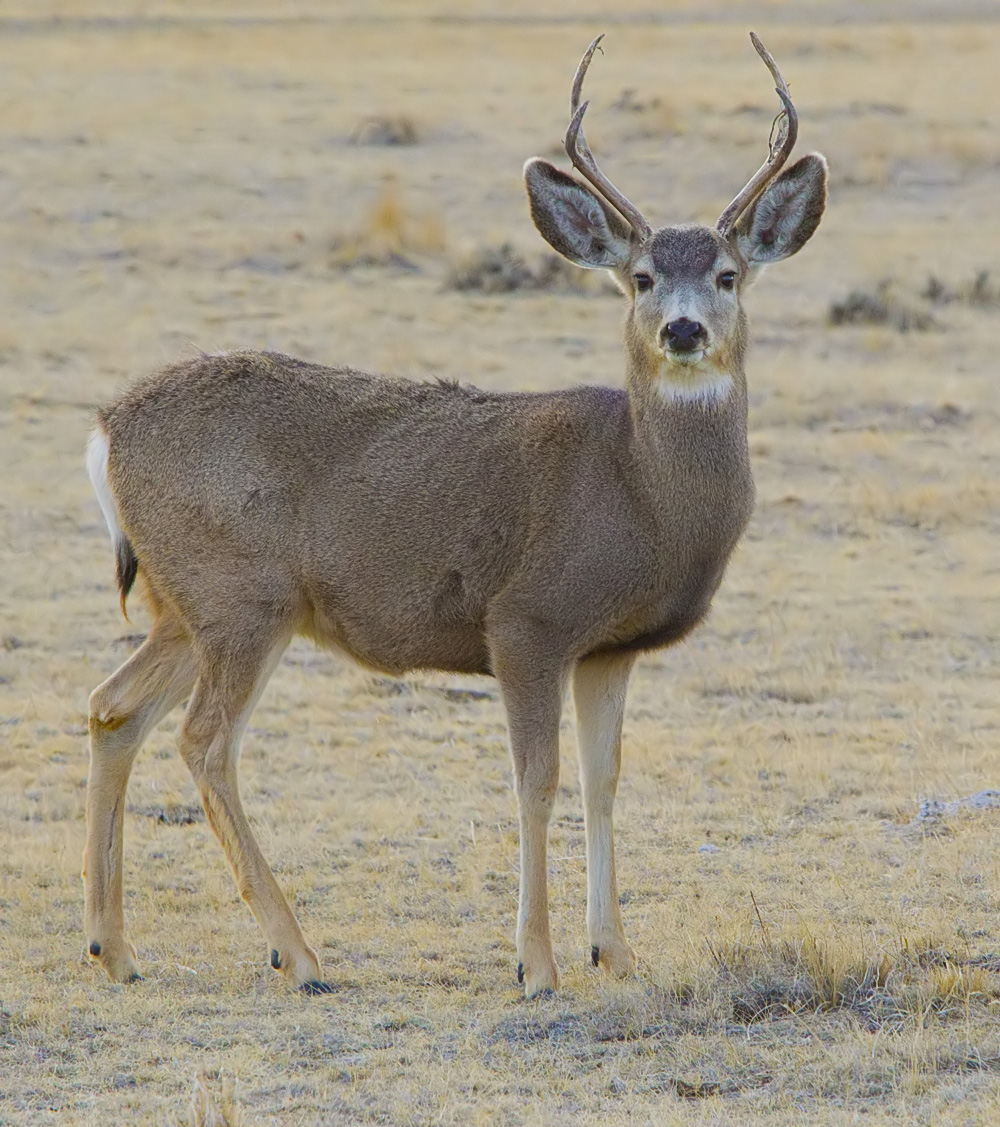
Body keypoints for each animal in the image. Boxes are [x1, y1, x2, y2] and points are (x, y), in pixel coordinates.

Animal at [82, 30, 825, 996]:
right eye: (641, 278)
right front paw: (536, 963)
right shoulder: (527, 619)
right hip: (243, 597)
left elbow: (605, 779)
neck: (638, 490)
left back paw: (114, 947)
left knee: (112, 708)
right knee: (204, 739)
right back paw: (298, 952)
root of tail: (106, 427)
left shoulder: (610, 647)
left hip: (184, 602)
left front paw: (617, 951)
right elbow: (537, 779)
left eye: (729, 275)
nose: (685, 330)